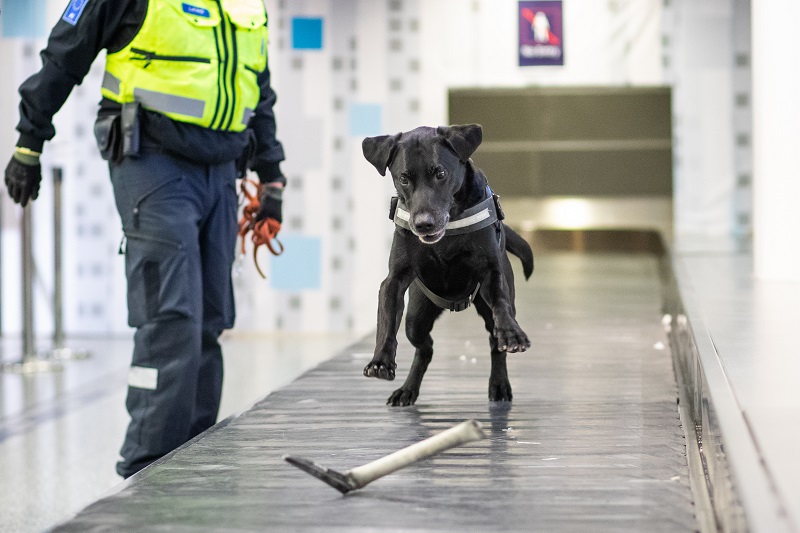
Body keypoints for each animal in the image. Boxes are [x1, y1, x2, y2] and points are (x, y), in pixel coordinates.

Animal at [360, 124, 536, 406]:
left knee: (493, 341)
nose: (423, 224)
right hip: (416, 317)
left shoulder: (491, 272)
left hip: (485, 308)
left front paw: (512, 333)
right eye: (404, 178)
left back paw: (499, 383)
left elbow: (501, 303)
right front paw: (380, 361)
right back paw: (407, 389)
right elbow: (386, 322)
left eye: (440, 173)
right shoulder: (394, 280)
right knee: (425, 348)